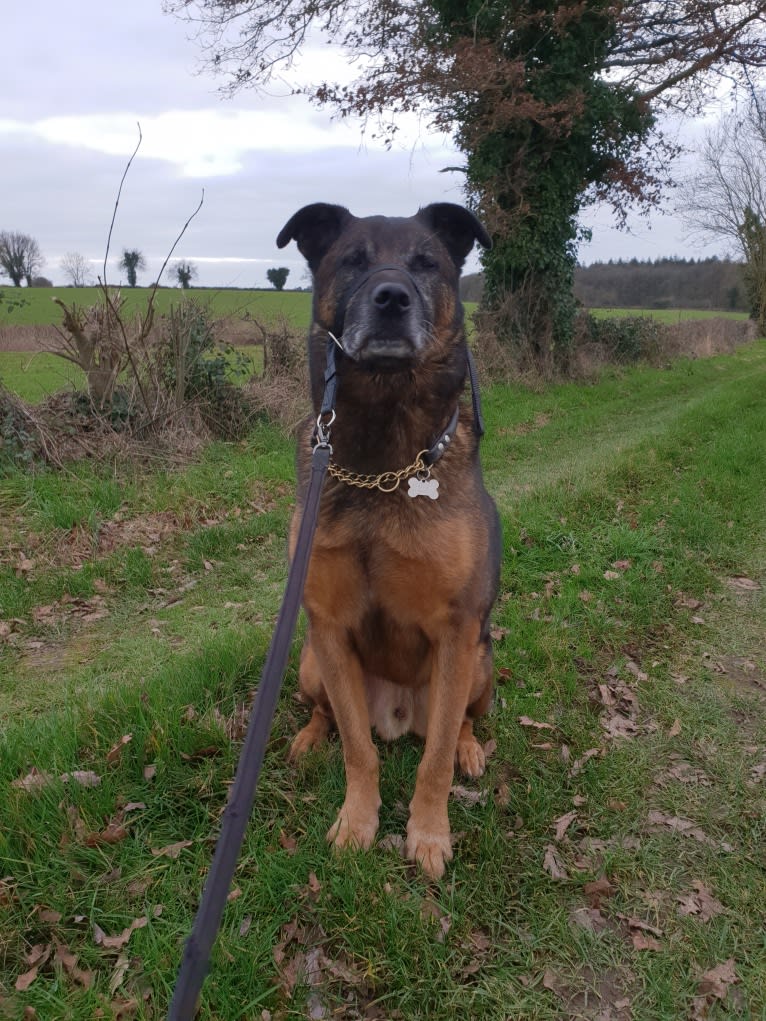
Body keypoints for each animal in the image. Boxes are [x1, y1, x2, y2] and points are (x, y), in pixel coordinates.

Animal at [279, 199, 500, 878]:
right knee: (327, 712)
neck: (380, 465)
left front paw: (427, 834)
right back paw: (307, 739)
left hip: (480, 662)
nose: (391, 297)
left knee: (455, 729)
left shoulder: (456, 630)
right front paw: (358, 822)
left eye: (426, 263)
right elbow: (357, 748)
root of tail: (399, 716)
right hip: (310, 663)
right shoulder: (327, 626)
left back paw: (471, 749)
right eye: (352, 260)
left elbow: (433, 763)